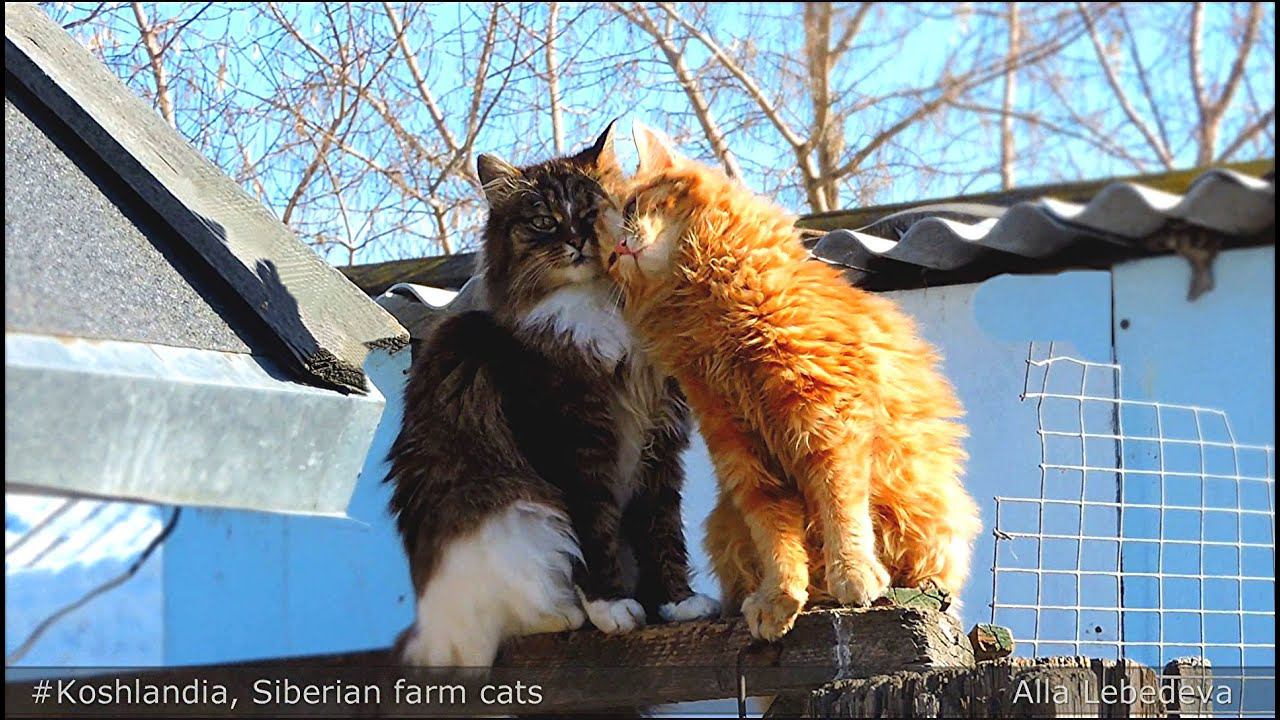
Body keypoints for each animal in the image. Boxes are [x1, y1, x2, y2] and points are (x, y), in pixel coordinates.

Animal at [384, 124, 716, 666]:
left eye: (592, 210)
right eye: (543, 221)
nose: (577, 239)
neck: (602, 309)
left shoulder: (659, 446)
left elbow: (663, 530)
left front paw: (677, 603)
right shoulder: (571, 446)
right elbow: (595, 534)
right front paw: (613, 606)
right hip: (516, 519)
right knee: (522, 607)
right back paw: (568, 615)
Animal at [591, 122, 977, 638]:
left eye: (632, 207)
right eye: (608, 261)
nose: (617, 250)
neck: (719, 324)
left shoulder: (829, 424)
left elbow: (840, 507)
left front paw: (853, 574)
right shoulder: (742, 454)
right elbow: (774, 535)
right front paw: (780, 596)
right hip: (725, 524)